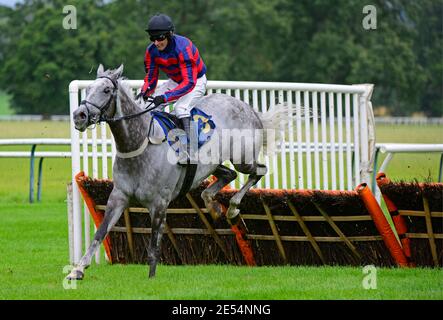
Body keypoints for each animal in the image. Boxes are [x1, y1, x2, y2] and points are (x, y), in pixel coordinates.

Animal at [66, 65, 288, 280]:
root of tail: (250, 109)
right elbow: (100, 233)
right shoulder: (118, 197)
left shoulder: (159, 203)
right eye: (88, 88)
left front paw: (151, 278)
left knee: (259, 170)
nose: (79, 116)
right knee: (228, 175)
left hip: (243, 159)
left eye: (106, 90)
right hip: (213, 163)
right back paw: (213, 205)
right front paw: (77, 270)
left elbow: (154, 247)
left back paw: (233, 208)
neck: (139, 145)